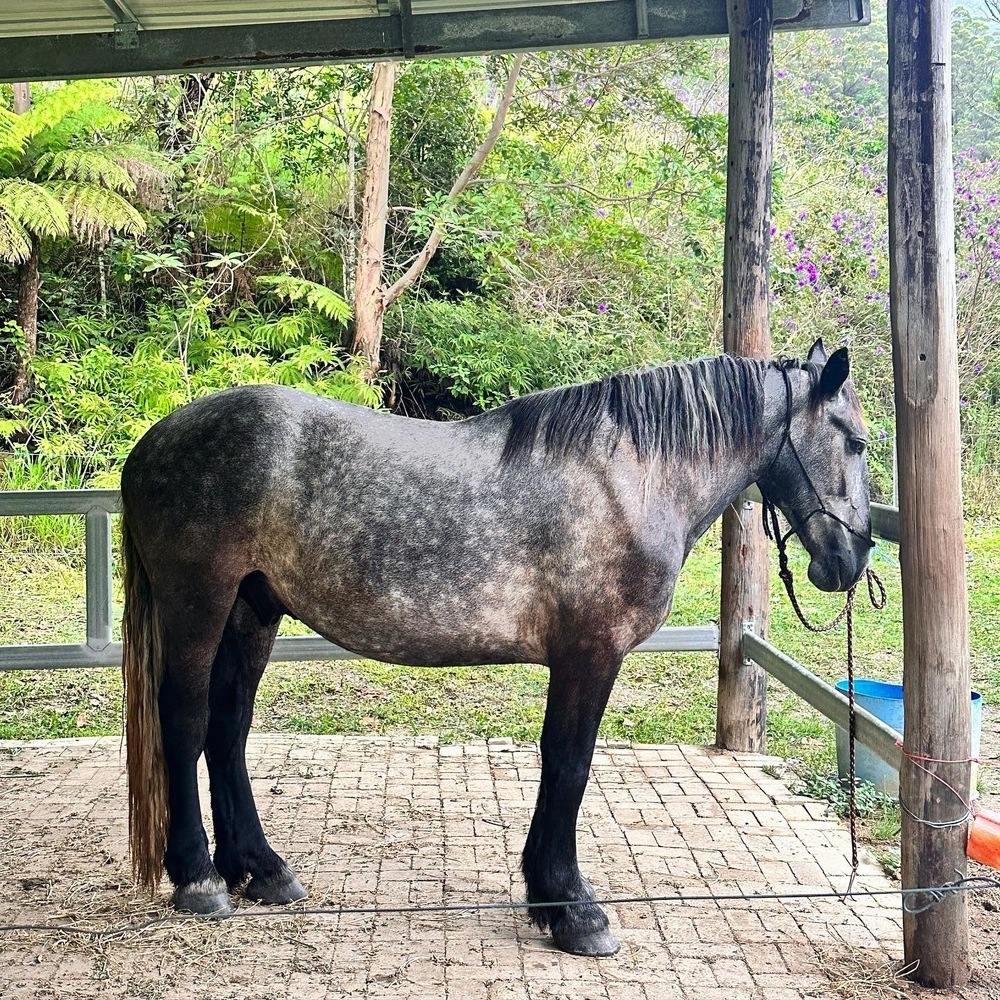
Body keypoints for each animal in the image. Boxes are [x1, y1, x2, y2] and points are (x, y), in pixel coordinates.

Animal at [120, 337, 872, 957]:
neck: (628, 478)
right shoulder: (590, 653)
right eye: (857, 443)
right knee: (185, 723)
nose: (851, 561)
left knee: (229, 729)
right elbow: (569, 766)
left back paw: (261, 870)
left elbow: (560, 767)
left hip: (252, 610)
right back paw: (199, 879)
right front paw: (572, 909)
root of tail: (153, 443)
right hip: (199, 604)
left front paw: (549, 895)